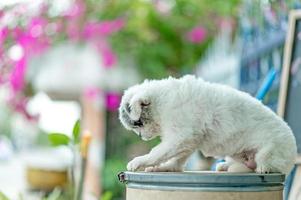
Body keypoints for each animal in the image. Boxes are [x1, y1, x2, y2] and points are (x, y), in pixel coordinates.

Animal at [118, 76, 296, 174]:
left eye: (138, 124)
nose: (141, 137)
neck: (163, 101)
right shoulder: (187, 140)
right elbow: (177, 159)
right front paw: (166, 167)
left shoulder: (181, 136)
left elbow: (157, 152)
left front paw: (140, 161)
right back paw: (225, 166)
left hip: (269, 151)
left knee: (263, 163)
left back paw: (262, 168)